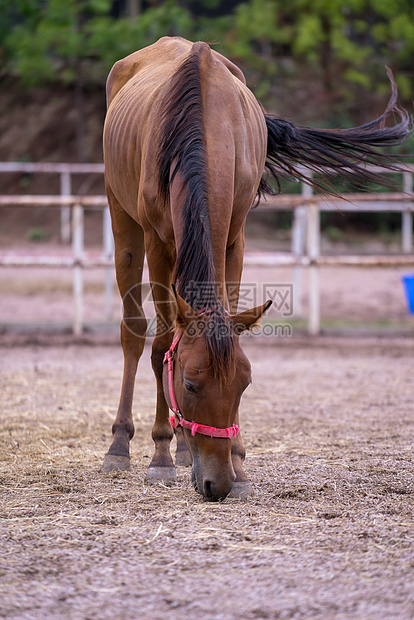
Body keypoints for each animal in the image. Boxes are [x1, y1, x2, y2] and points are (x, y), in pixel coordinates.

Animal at [102, 36, 410, 502]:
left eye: (244, 385)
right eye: (189, 385)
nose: (218, 484)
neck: (204, 133)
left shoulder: (234, 237)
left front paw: (239, 463)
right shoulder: (157, 242)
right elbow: (162, 349)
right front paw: (159, 455)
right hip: (124, 224)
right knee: (134, 331)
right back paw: (121, 445)